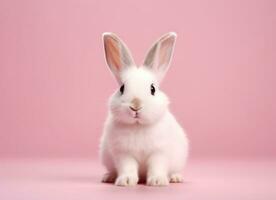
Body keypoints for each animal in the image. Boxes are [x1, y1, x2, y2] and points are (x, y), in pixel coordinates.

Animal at [98, 32, 188, 187]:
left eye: (153, 89)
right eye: (122, 88)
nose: (136, 105)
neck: (138, 126)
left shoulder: (159, 153)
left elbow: (157, 167)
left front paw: (157, 181)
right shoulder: (123, 154)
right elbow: (127, 167)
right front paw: (126, 181)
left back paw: (175, 178)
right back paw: (108, 177)